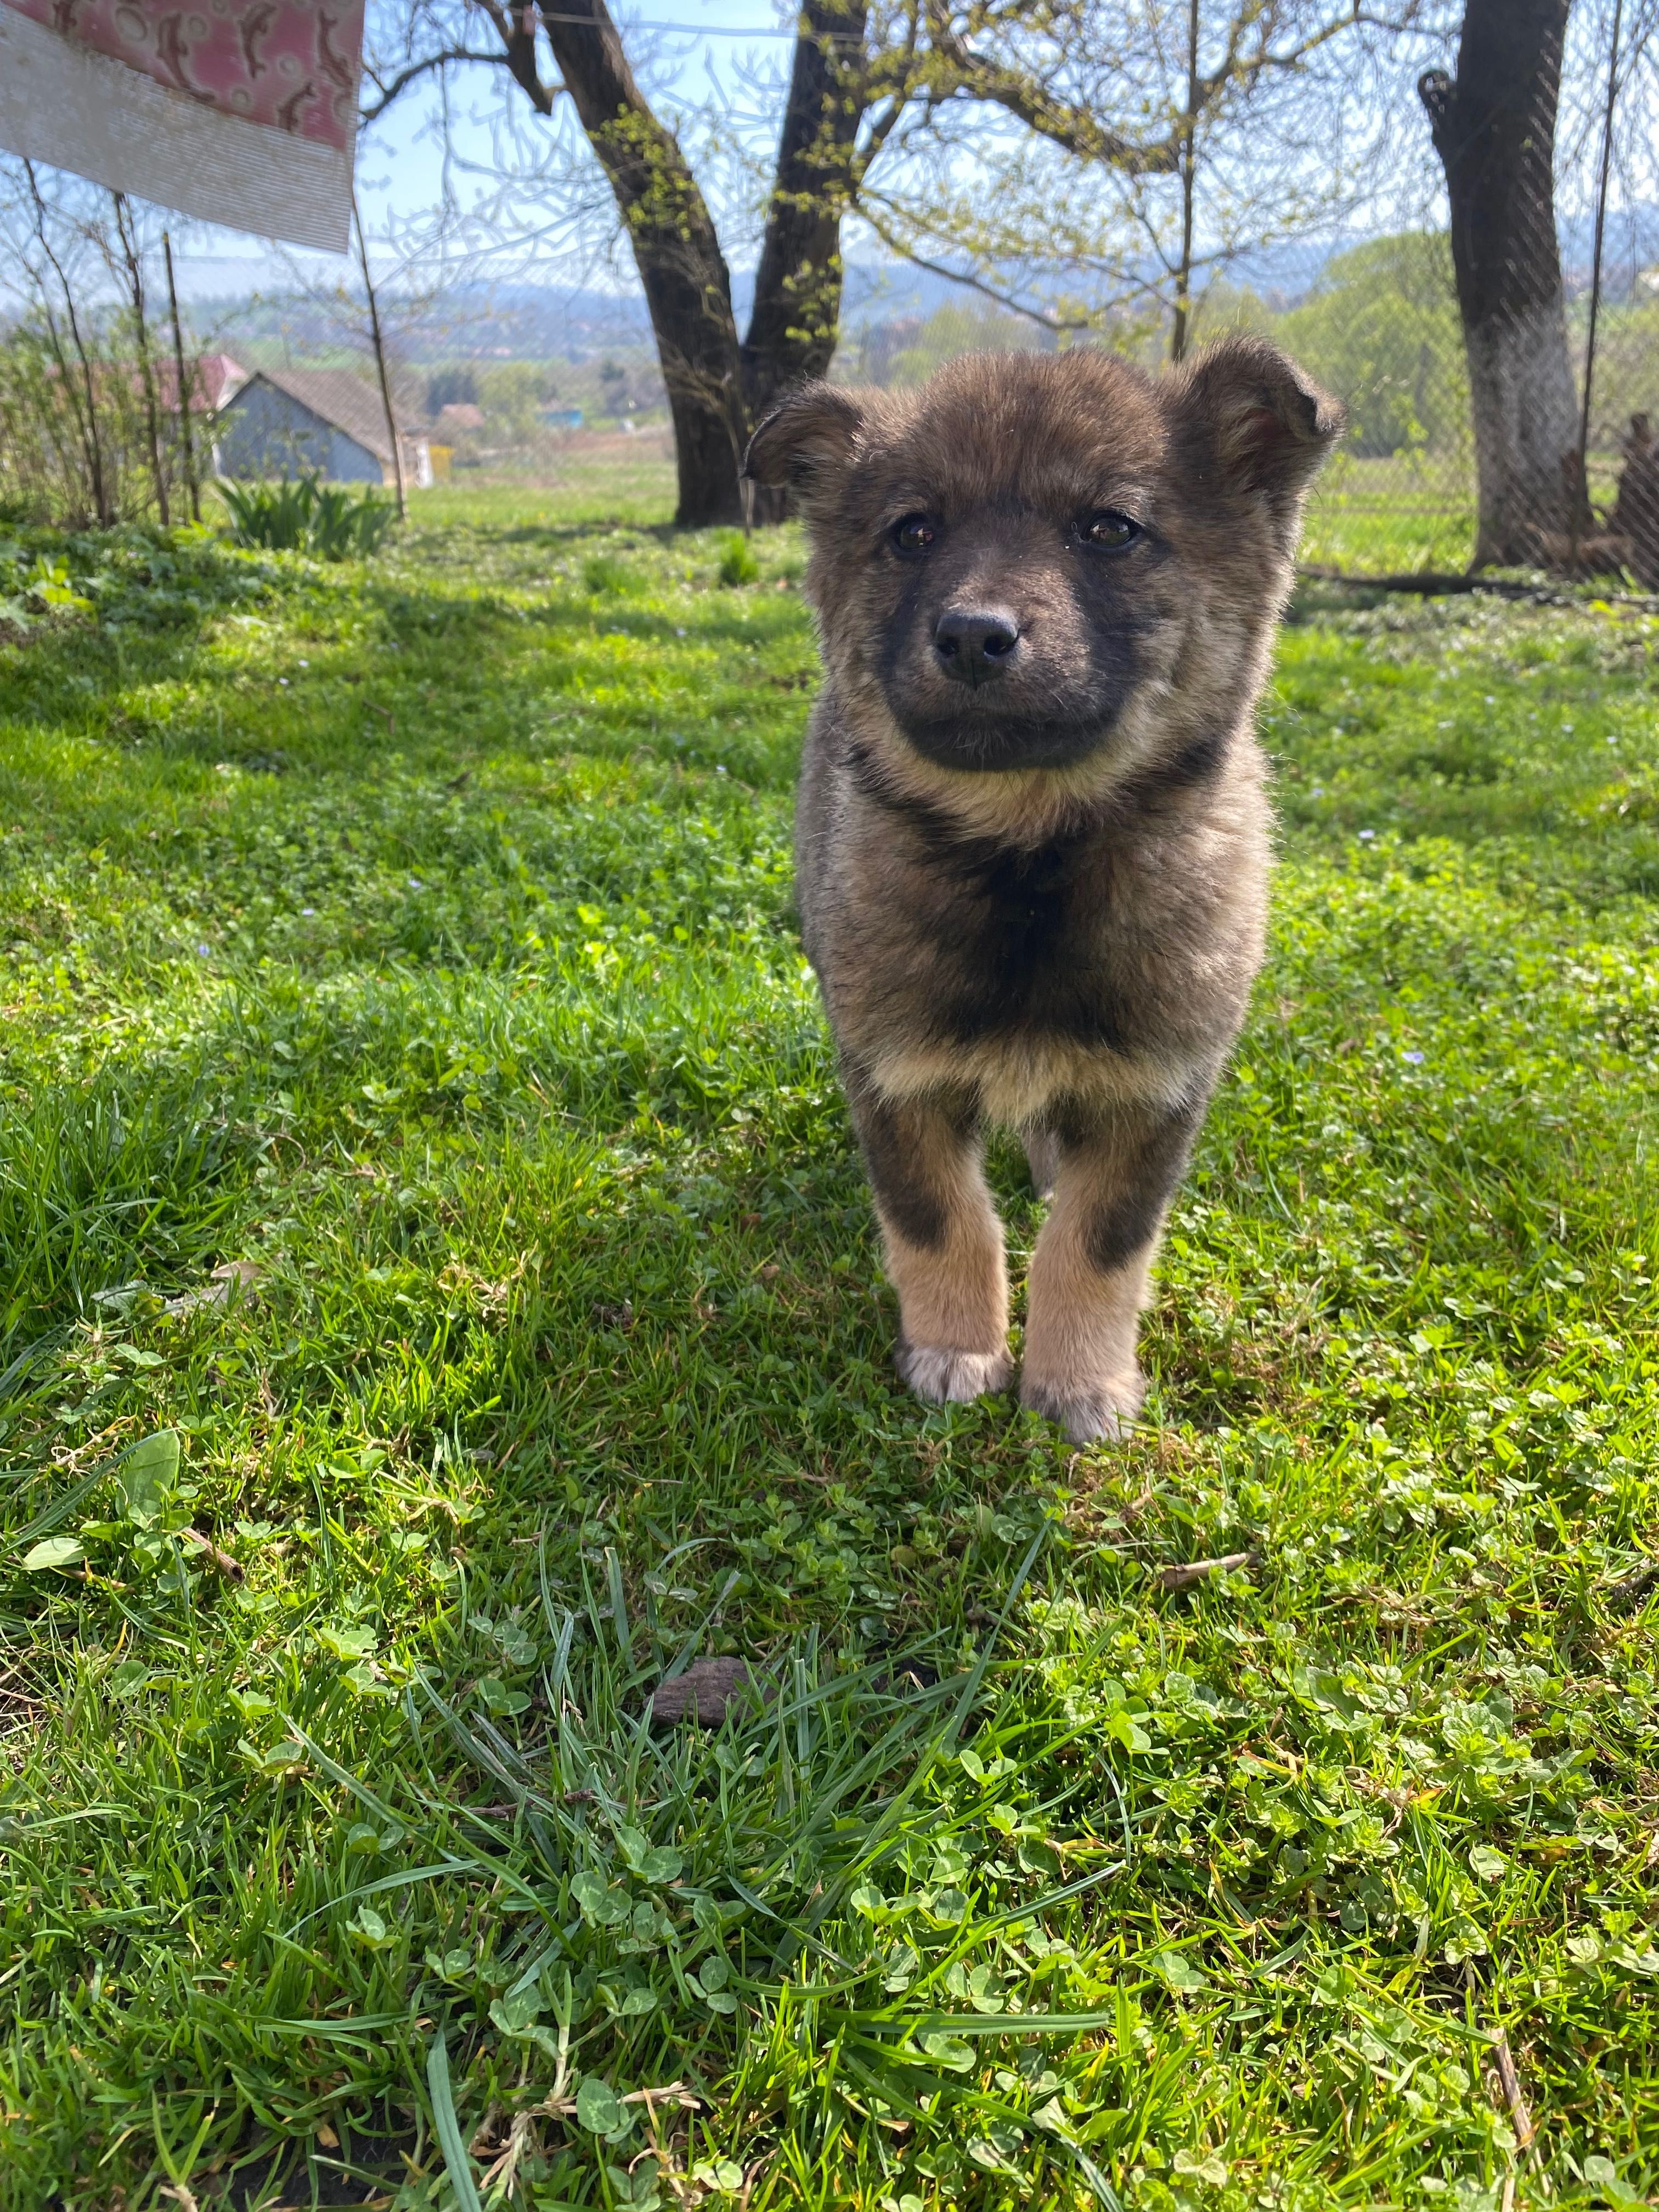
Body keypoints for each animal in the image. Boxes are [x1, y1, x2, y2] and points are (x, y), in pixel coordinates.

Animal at [747, 336, 1345, 1442]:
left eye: (1108, 528)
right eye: (913, 532)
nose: (972, 637)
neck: (1028, 859)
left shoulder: (1155, 1093)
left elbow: (1096, 1246)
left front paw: (1078, 1382)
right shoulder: (893, 1077)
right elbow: (941, 1221)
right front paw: (957, 1350)